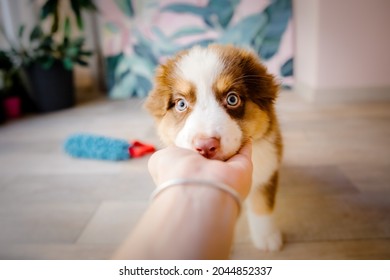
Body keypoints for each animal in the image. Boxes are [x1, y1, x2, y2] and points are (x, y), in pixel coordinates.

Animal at [143, 44, 284, 252]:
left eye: (232, 99)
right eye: (181, 104)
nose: (206, 146)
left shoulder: (267, 165)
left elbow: (262, 202)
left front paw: (266, 237)